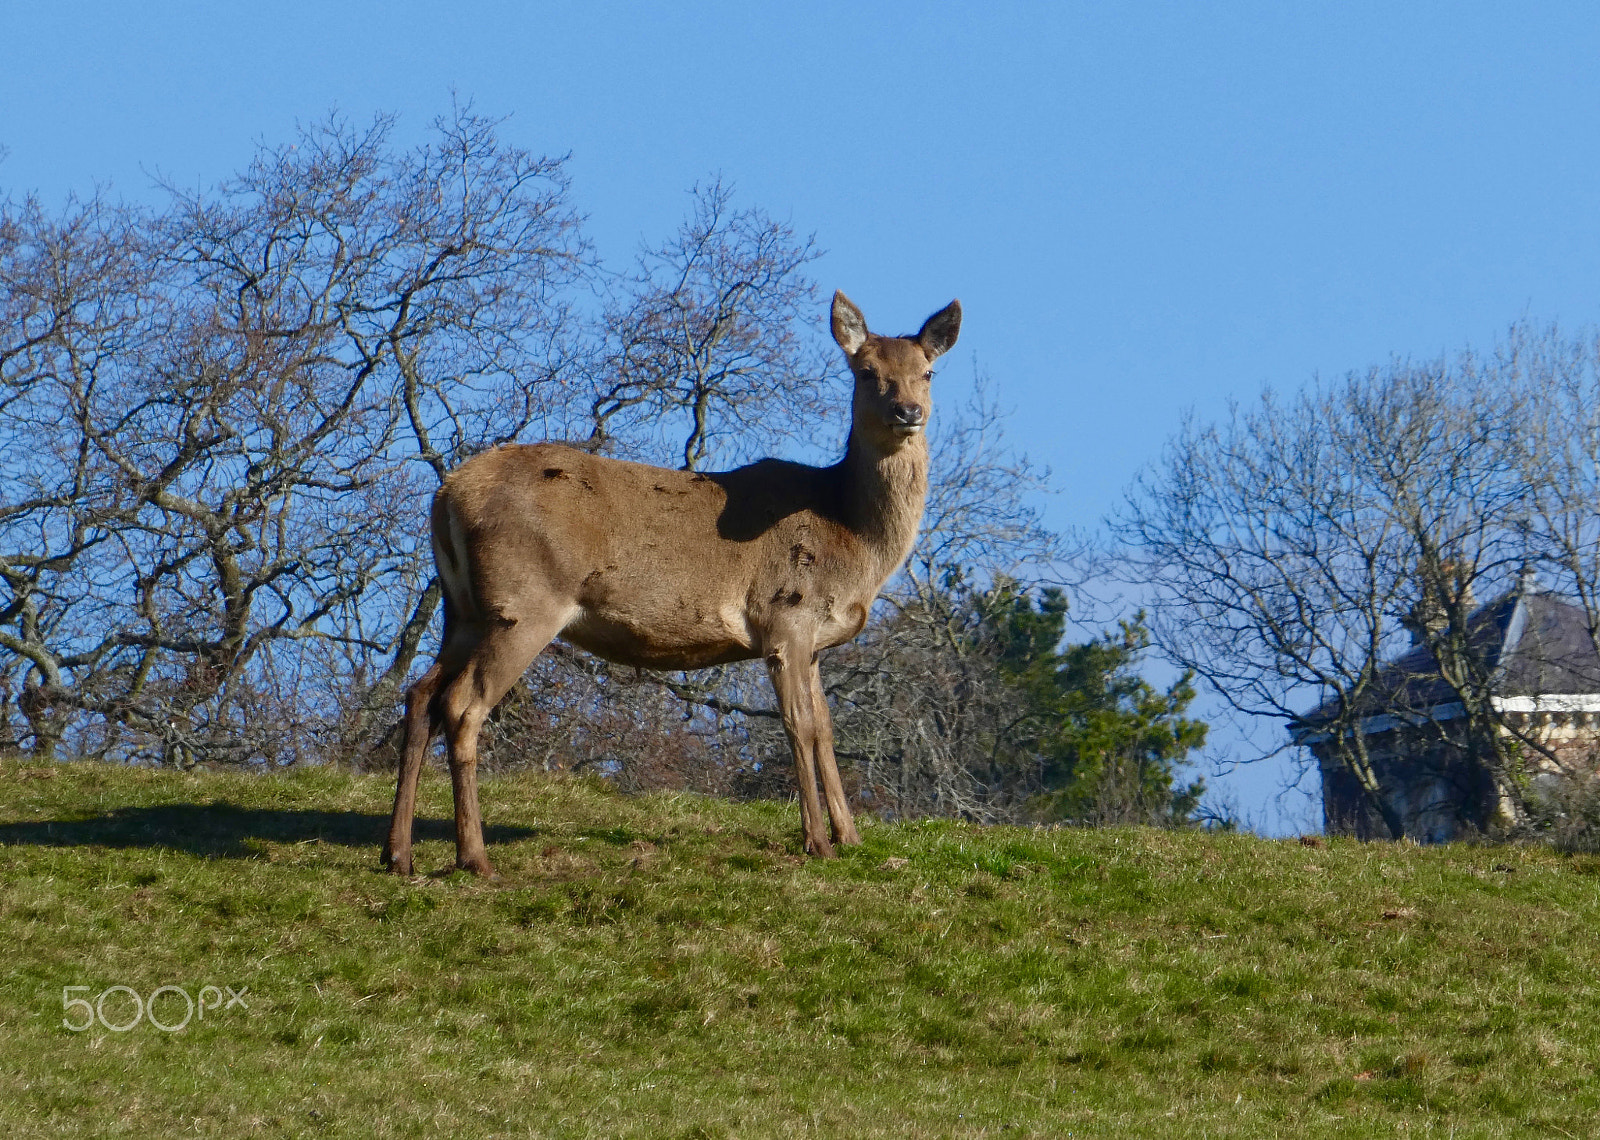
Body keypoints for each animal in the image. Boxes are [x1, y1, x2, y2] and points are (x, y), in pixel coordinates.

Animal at [384, 289, 960, 877]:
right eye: (866, 372)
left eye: (928, 372)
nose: (908, 412)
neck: (849, 536)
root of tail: (445, 495)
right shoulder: (784, 615)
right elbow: (798, 724)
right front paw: (817, 843)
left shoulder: (816, 640)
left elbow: (825, 728)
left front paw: (851, 838)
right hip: (523, 603)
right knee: (462, 706)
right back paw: (474, 857)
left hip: (462, 609)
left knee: (420, 695)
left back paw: (399, 853)